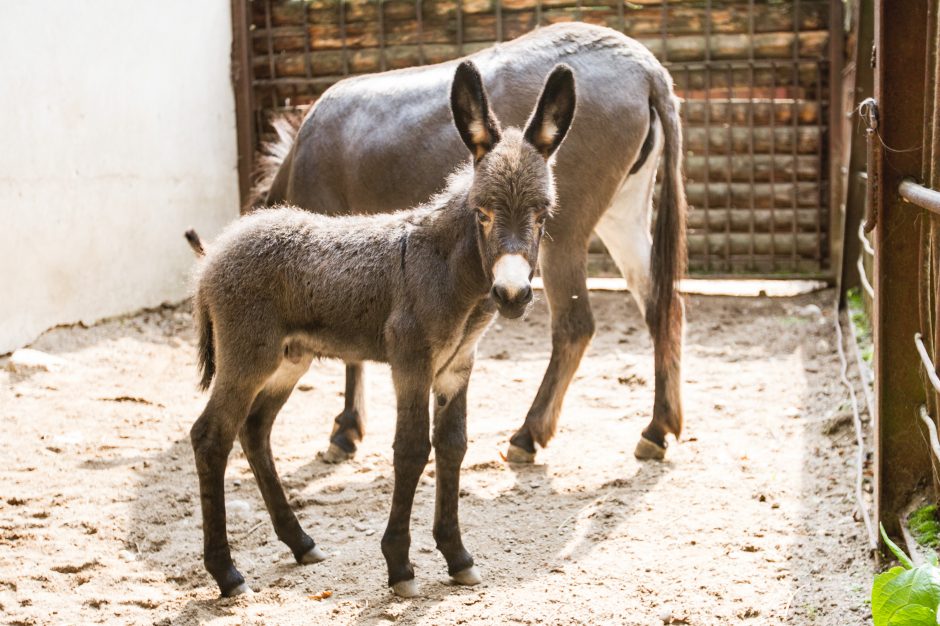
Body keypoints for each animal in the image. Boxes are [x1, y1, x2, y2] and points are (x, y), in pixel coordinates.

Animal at [187, 61, 576, 596]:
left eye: (542, 214)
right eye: (483, 213)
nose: (514, 295)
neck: (448, 269)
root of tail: (215, 254)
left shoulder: (457, 367)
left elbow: (452, 447)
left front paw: (457, 557)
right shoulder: (411, 361)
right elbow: (411, 449)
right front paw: (400, 566)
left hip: (289, 359)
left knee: (255, 429)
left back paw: (300, 543)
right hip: (248, 357)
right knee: (211, 436)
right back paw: (227, 573)